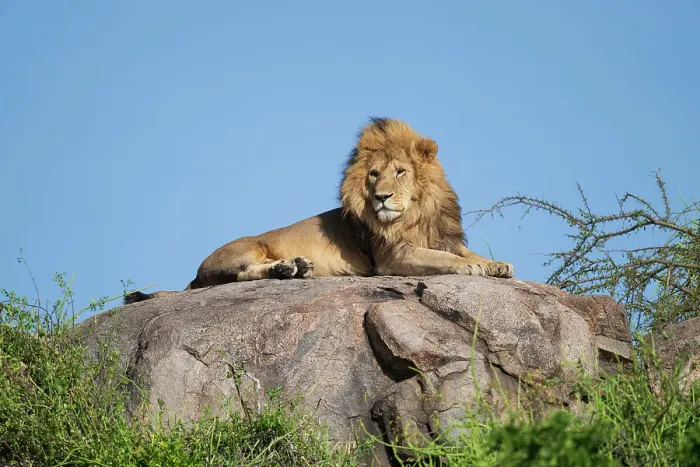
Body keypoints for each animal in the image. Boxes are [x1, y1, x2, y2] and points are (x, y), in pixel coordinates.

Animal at [124, 117, 514, 304]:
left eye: (401, 172)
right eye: (374, 174)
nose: (381, 197)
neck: (418, 212)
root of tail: (194, 275)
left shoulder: (443, 237)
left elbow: (463, 252)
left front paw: (498, 265)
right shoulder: (392, 257)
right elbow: (446, 260)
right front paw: (474, 267)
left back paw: (295, 268)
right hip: (246, 248)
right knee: (243, 274)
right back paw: (285, 268)